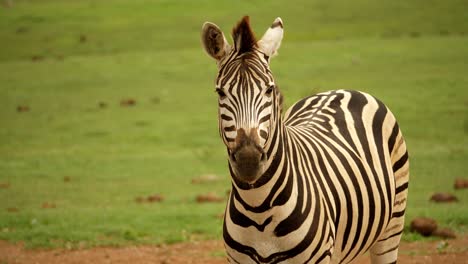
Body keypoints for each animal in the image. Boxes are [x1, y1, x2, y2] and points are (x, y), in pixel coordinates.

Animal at [200, 16, 410, 264]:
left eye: (269, 90)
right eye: (220, 92)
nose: (248, 160)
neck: (258, 206)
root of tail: (341, 90)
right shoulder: (237, 260)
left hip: (392, 227)